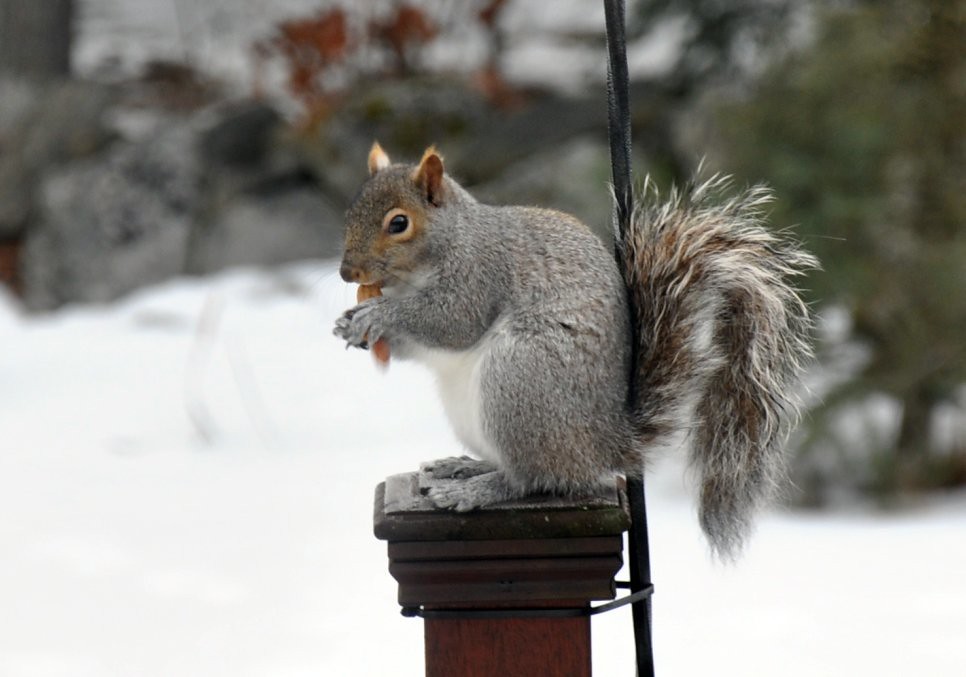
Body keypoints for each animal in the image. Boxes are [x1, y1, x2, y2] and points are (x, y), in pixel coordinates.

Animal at [335, 142, 818, 557]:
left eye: (399, 223)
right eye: (351, 211)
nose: (346, 272)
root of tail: (605, 445)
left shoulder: (479, 274)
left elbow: (453, 322)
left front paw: (379, 315)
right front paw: (350, 325)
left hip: (522, 378)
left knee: (533, 478)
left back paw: (477, 489)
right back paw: (466, 467)